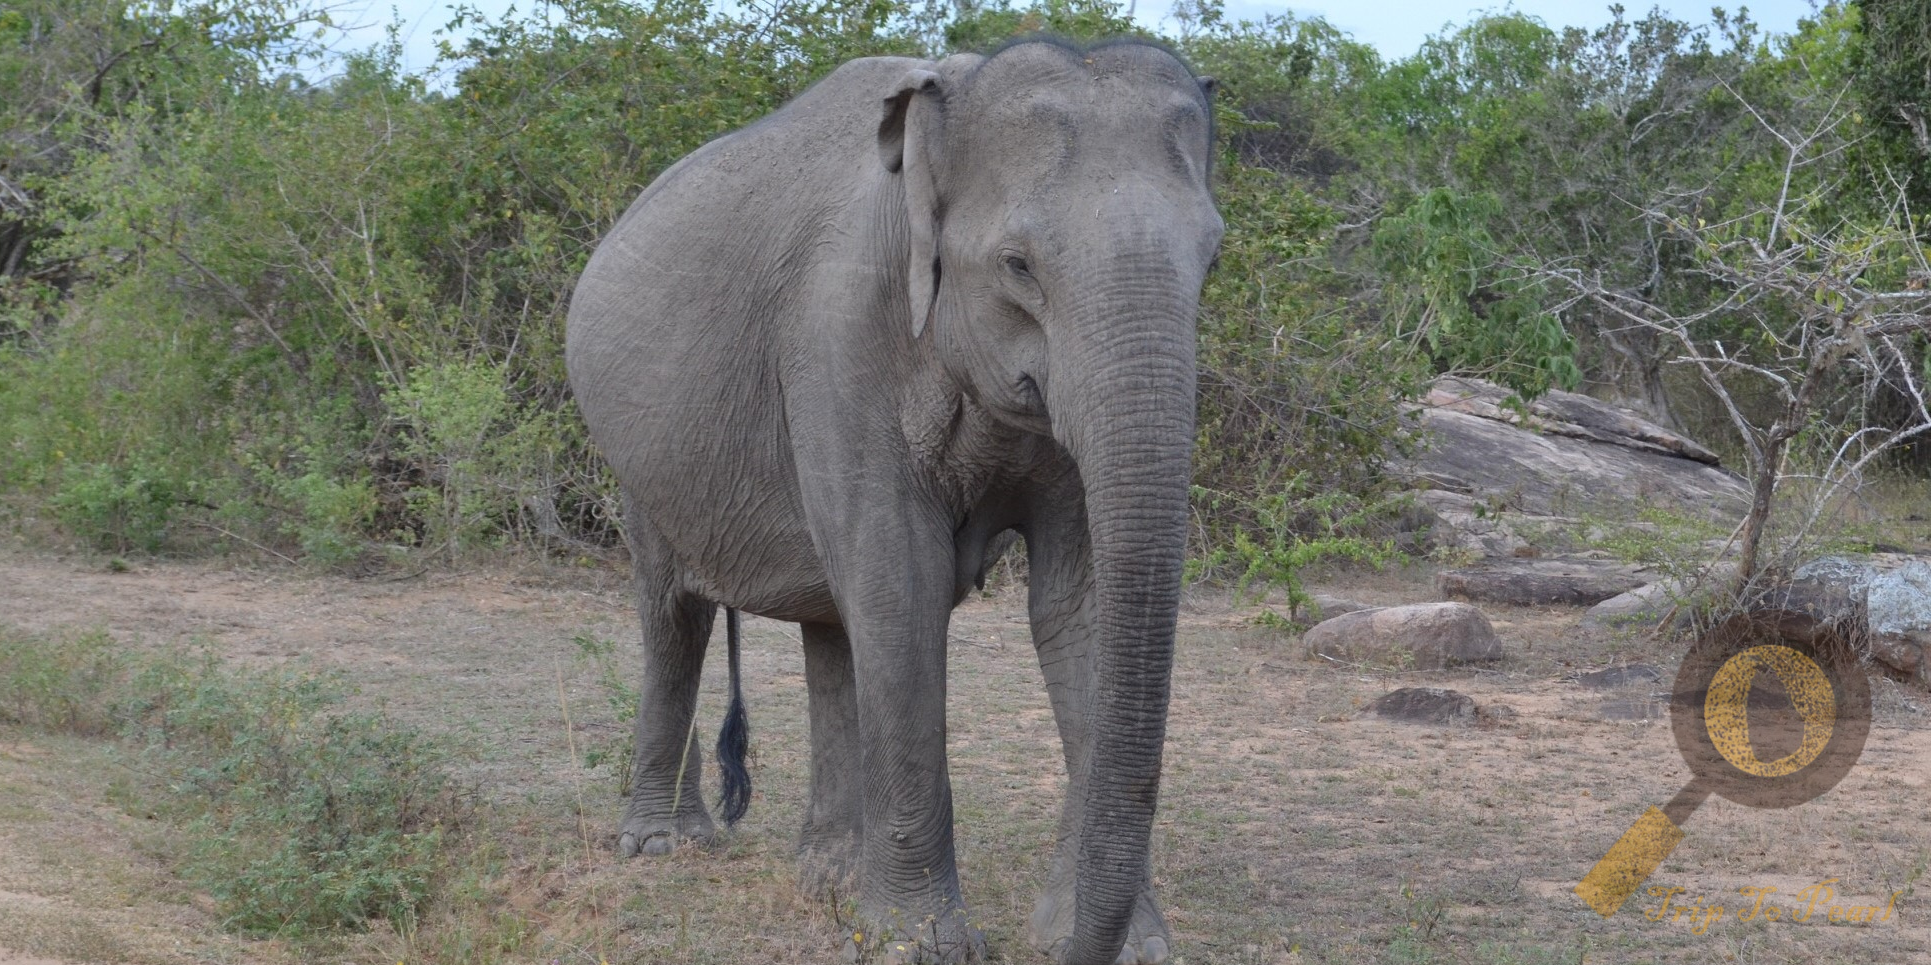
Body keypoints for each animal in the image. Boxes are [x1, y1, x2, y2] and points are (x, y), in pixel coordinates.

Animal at [564, 37, 1222, 965]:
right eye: (1017, 266)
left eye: (1212, 262)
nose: (1063, 949)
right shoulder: (837, 340)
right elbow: (902, 583)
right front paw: (925, 942)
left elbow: (1077, 604)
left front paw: (1130, 946)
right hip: (638, 453)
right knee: (675, 612)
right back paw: (664, 843)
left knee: (830, 621)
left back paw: (828, 879)